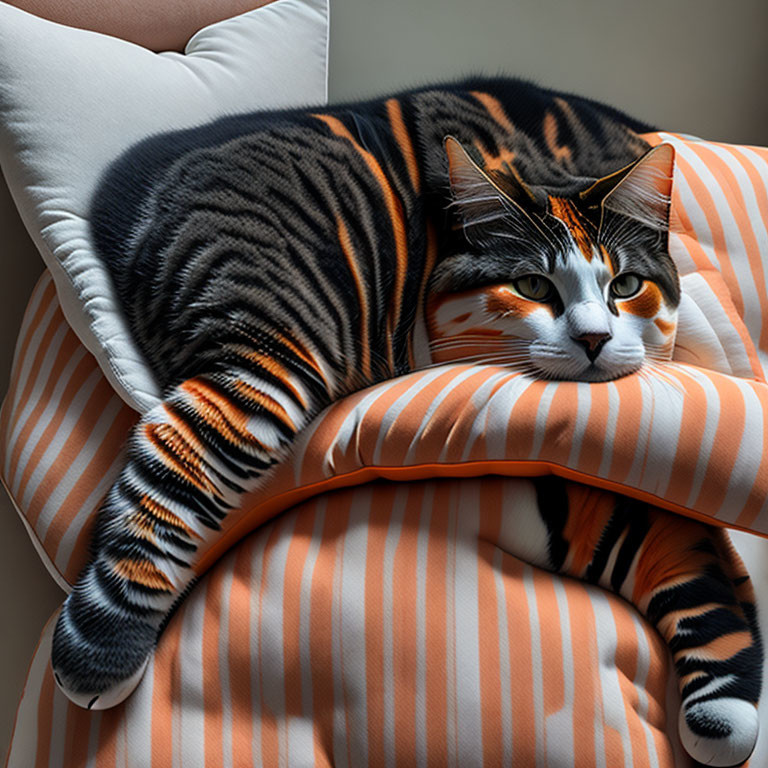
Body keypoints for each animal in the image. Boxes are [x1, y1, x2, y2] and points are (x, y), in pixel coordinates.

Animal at [52, 78, 760, 768]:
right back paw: (100, 649)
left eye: (626, 285)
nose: (593, 339)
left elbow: (674, 542)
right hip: (273, 330)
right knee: (188, 447)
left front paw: (724, 709)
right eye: (532, 286)